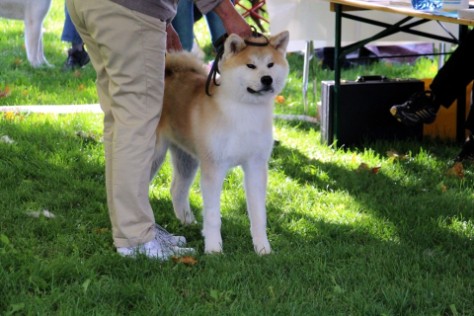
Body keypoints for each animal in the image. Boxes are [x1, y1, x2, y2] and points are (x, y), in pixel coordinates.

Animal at [152, 31, 290, 254]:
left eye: (270, 64)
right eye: (250, 66)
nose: (267, 79)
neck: (244, 112)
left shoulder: (256, 166)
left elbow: (258, 214)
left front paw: (262, 248)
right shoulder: (214, 167)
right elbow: (213, 216)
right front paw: (214, 248)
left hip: (187, 159)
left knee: (177, 189)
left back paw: (187, 221)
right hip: (155, 154)